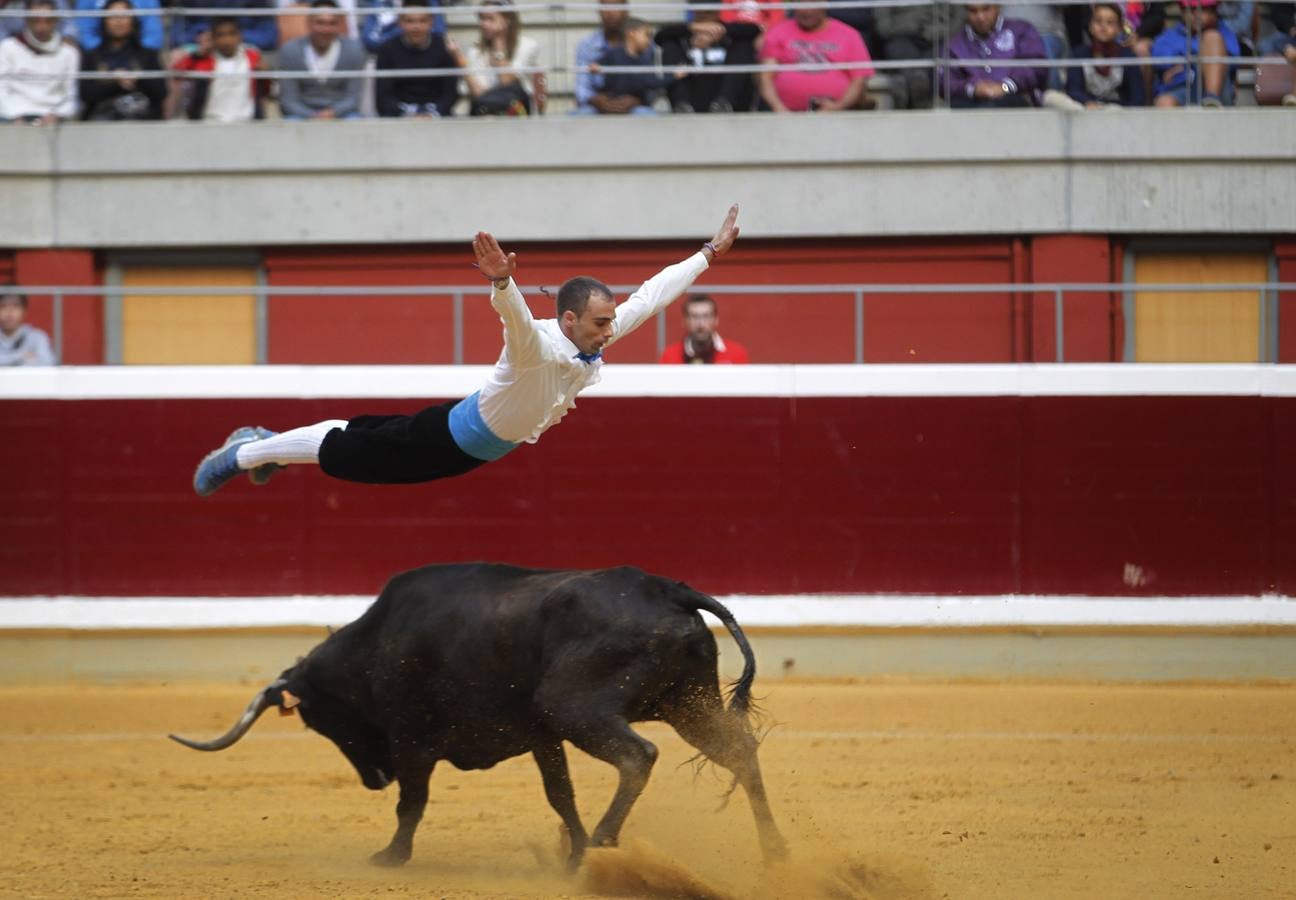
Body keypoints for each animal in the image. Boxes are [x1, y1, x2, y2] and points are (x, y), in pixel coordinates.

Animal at [172, 565, 787, 866]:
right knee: (741, 752)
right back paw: (773, 851)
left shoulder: (412, 740)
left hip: (578, 707)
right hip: (688, 703)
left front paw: (391, 856)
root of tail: (668, 591)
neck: (376, 641)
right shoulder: (542, 737)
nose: (373, 778)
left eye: (320, 720)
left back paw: (607, 839)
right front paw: (571, 855)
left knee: (640, 755)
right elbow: (559, 794)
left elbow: (412, 802)